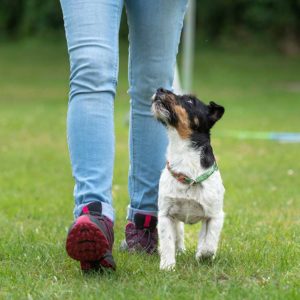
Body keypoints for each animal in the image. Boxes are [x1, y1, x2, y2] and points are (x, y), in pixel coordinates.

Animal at [152, 87, 225, 270]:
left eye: (190, 101)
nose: (160, 89)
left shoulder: (215, 215)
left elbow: (208, 243)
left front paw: (202, 255)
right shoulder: (165, 215)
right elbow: (167, 242)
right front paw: (167, 266)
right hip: (176, 221)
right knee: (178, 237)